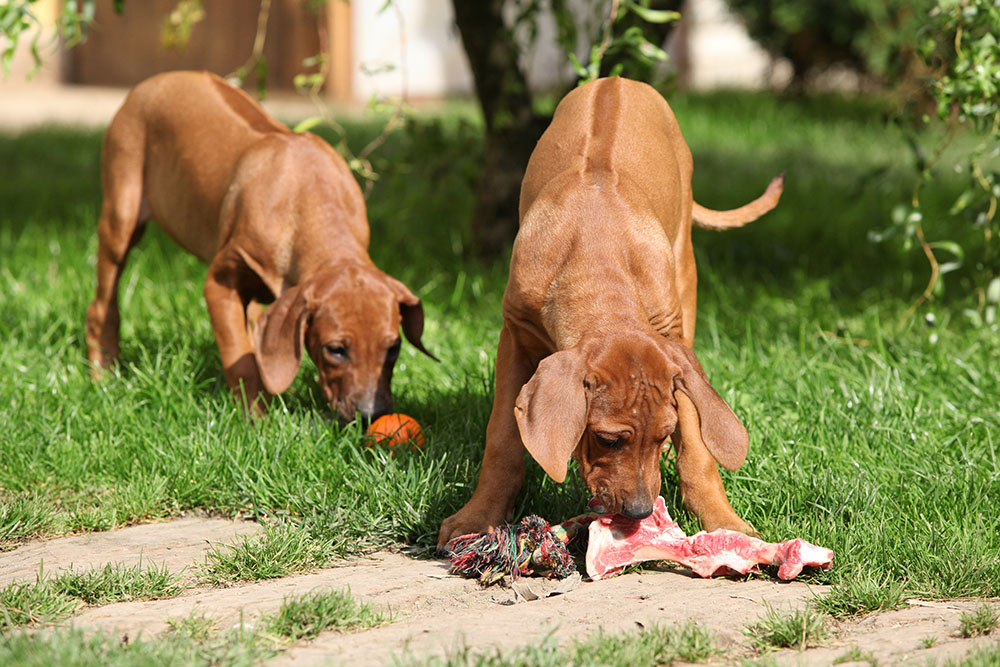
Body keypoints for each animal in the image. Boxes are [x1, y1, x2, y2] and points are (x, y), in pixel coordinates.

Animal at [84, 70, 432, 420]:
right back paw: (103, 375)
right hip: (121, 212)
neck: (314, 205)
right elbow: (242, 358)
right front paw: (256, 418)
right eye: (335, 350)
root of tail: (160, 78)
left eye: (393, 348)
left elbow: (259, 349)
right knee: (101, 306)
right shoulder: (219, 284)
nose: (371, 415)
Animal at [438, 78, 780, 548]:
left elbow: (696, 438)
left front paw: (722, 520)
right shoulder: (514, 335)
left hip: (685, 270)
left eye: (662, 434)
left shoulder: (673, 343)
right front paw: (479, 516)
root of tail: (618, 80)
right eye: (607, 439)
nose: (638, 512)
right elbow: (502, 439)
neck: (596, 254)